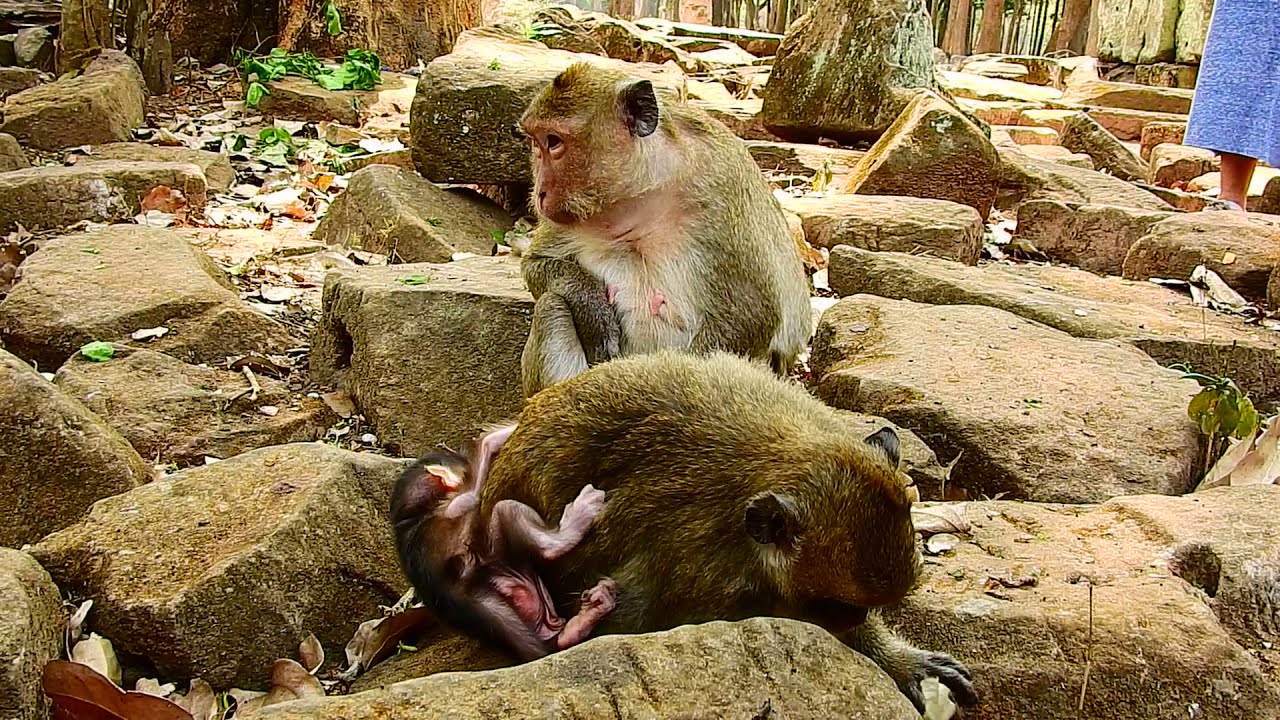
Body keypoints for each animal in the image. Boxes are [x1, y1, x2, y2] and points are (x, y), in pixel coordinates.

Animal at [390, 423, 618, 661]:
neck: (414, 515)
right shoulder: (454, 505)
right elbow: (473, 494)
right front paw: (497, 437)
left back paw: (580, 621)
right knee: (507, 512)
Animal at [516, 60, 813, 397]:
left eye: (553, 142)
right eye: (535, 142)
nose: (539, 192)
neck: (641, 195)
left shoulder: (721, 189)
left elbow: (750, 315)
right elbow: (536, 264)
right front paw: (593, 309)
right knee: (551, 305)